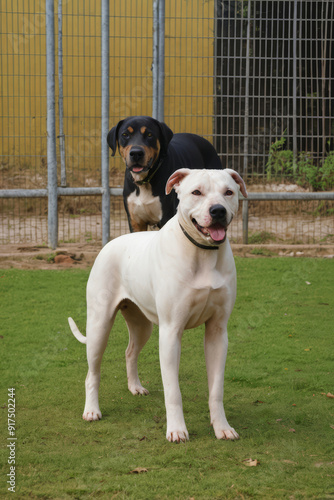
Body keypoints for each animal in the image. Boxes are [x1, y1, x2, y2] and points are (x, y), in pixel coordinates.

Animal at [68, 168, 248, 442]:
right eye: (197, 192)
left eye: (228, 192)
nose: (217, 210)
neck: (203, 253)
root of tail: (109, 244)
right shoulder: (171, 331)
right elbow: (173, 391)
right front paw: (176, 429)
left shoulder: (218, 332)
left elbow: (216, 389)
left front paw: (222, 427)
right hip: (99, 326)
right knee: (93, 373)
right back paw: (91, 410)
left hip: (142, 325)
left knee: (130, 352)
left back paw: (135, 387)